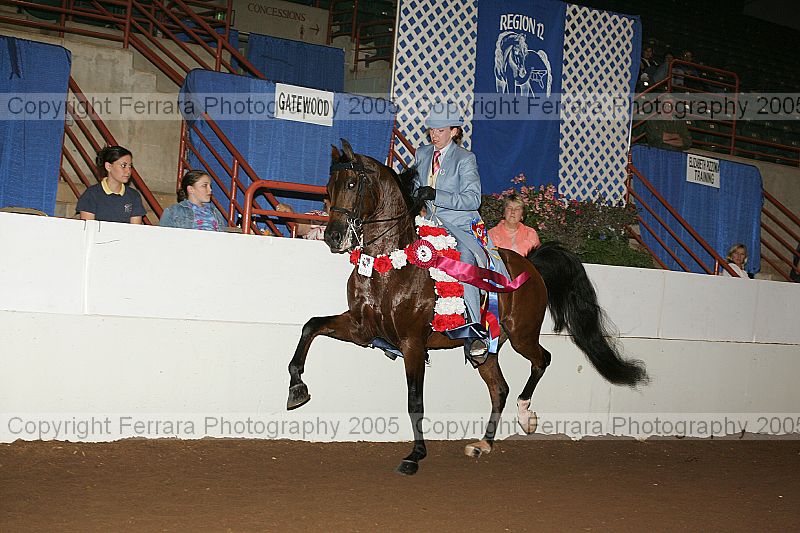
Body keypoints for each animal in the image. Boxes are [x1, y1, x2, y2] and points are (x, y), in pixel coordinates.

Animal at [287, 140, 648, 475]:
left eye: (351, 184)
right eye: (328, 187)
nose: (333, 237)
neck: (390, 265)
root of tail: (530, 264)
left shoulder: (413, 343)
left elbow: (415, 400)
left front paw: (415, 455)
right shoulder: (361, 328)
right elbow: (310, 326)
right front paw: (296, 388)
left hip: (522, 335)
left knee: (541, 361)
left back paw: (525, 415)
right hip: (487, 349)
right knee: (499, 389)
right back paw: (483, 444)